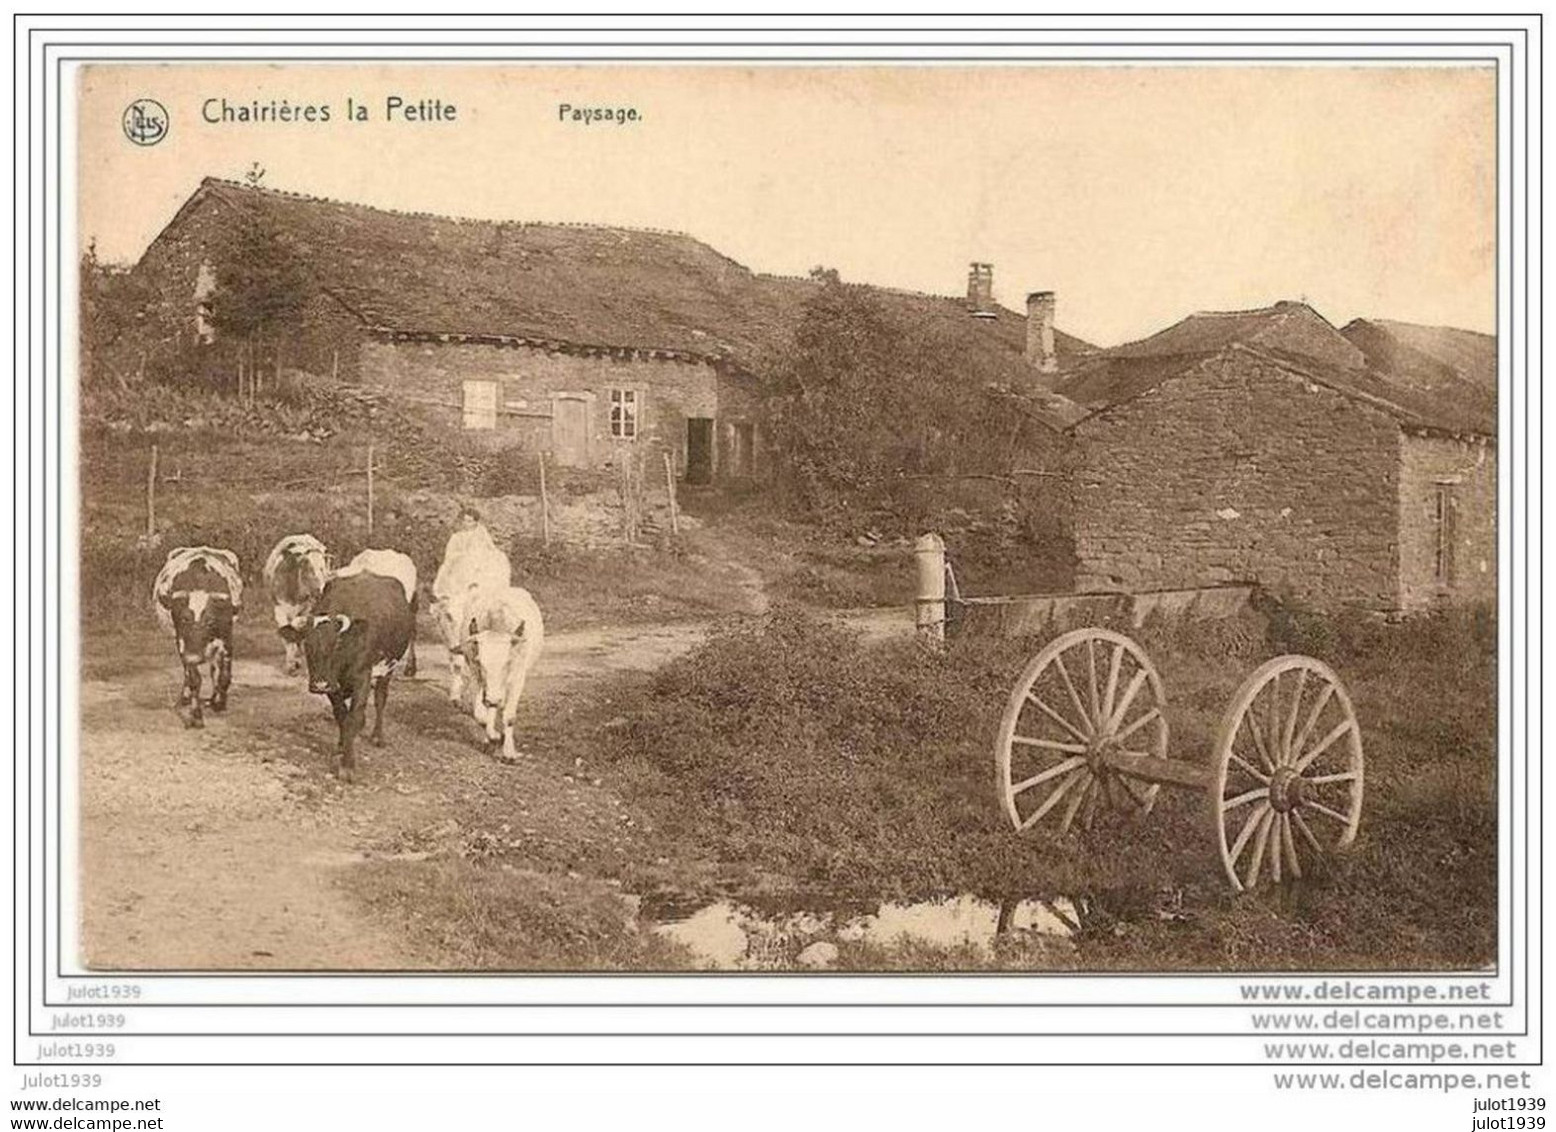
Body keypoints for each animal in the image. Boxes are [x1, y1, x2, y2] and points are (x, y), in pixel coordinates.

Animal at [152, 550, 241, 733]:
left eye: (211, 621)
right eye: (184, 619)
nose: (193, 656)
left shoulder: (227, 638)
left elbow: (224, 675)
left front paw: (219, 703)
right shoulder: (182, 643)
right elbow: (194, 679)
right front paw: (196, 717)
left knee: (215, 669)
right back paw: (186, 696)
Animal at [261, 534, 331, 677]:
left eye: (322, 569)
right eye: (308, 569)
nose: (319, 591)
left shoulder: (307, 609)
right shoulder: (279, 609)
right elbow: (287, 635)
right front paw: (291, 665)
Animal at [298, 569, 413, 783]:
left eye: (336, 644)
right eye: (306, 644)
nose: (319, 685)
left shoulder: (362, 676)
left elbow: (353, 717)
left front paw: (348, 766)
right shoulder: (332, 684)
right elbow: (342, 715)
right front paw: (342, 746)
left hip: (388, 667)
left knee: (380, 699)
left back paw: (377, 736)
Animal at [451, 587, 547, 765]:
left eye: (507, 662)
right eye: (479, 661)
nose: (493, 698)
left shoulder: (517, 679)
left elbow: (509, 717)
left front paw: (508, 752)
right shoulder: (477, 675)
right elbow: (481, 713)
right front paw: (493, 735)